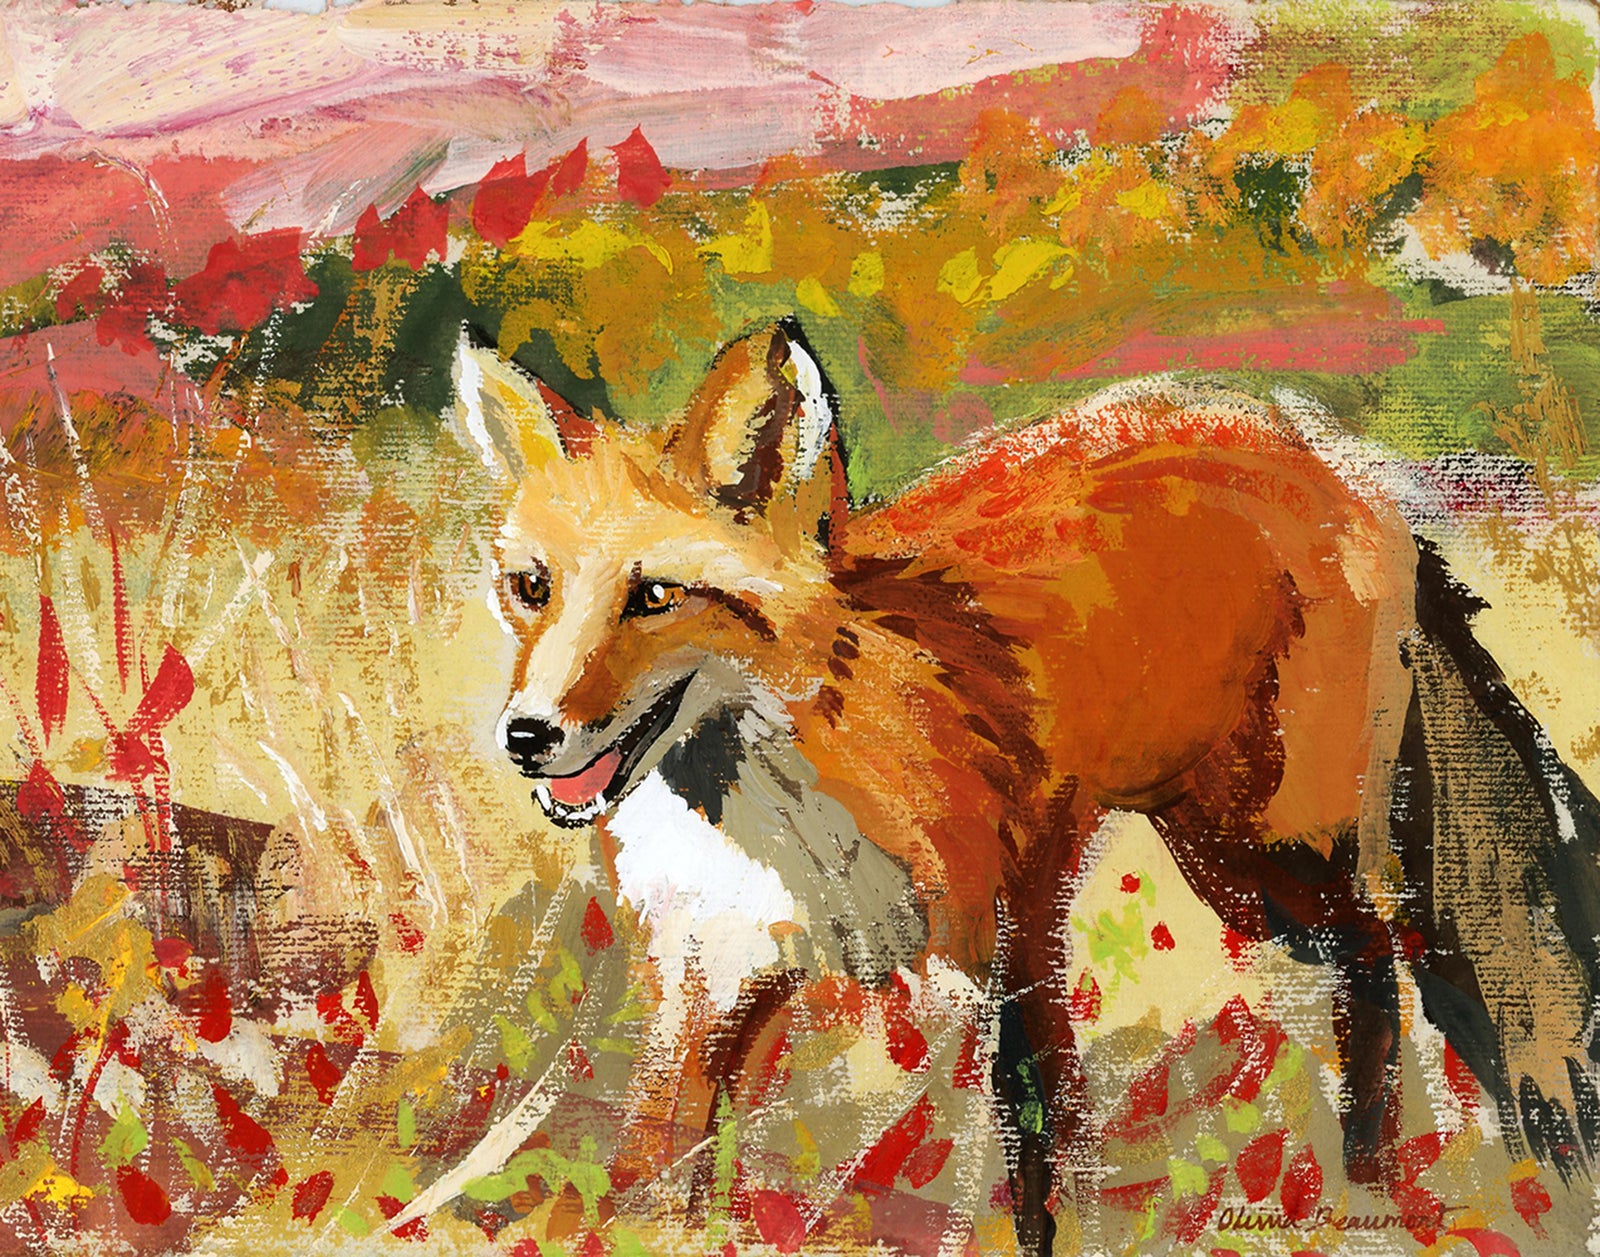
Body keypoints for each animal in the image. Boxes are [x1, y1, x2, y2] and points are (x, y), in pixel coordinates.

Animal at [454, 318, 1600, 1255]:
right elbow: (660, 1174)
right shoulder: (707, 987)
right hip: (1230, 861)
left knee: (1387, 954)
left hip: (1273, 851)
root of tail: (1333, 455)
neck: (773, 813)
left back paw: (1370, 1192)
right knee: (1381, 964)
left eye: (653, 596)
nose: (527, 736)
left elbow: (1037, 1182)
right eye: (530, 588)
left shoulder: (1009, 952)